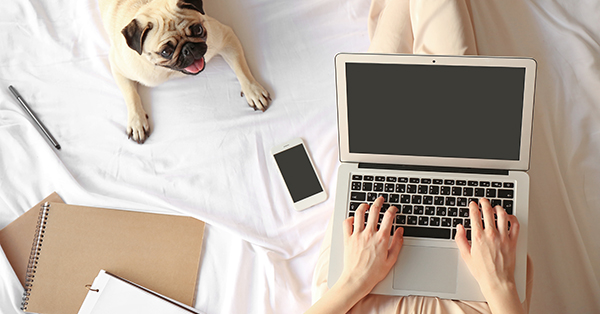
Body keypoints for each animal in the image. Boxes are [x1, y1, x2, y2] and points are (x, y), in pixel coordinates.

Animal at [98, 0, 270, 144]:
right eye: (166, 52)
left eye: (198, 29)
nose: (188, 48)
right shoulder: (119, 67)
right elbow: (131, 95)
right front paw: (137, 121)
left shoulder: (226, 37)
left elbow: (241, 68)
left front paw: (253, 91)